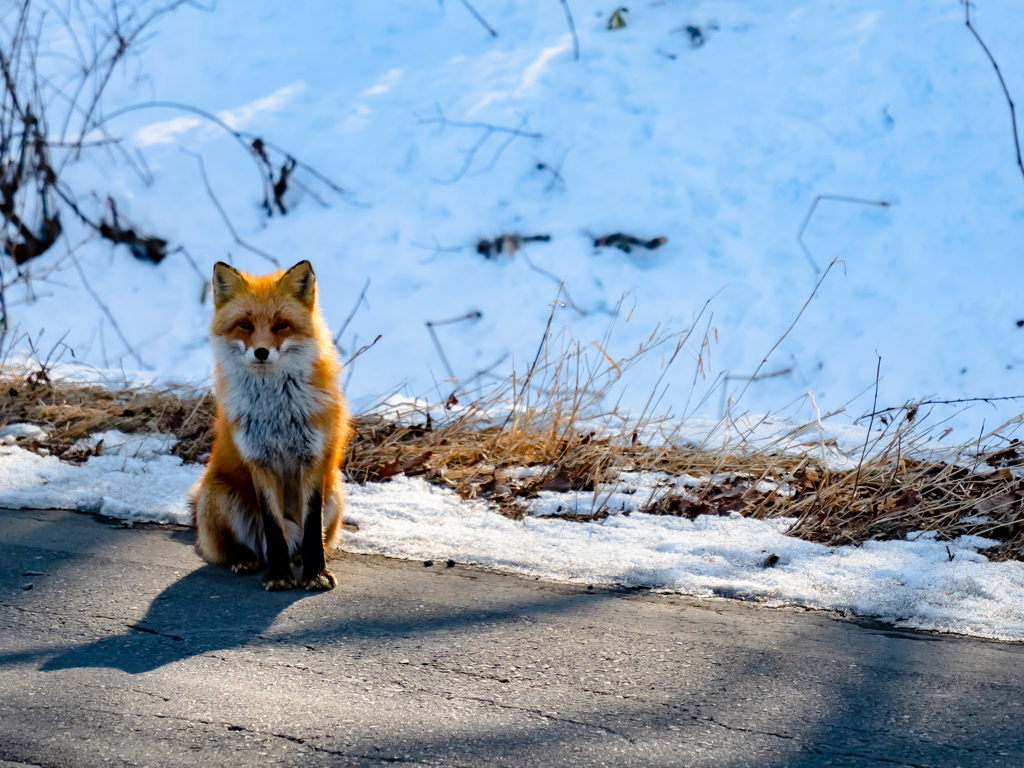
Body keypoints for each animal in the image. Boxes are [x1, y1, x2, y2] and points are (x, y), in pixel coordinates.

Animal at [191, 262, 352, 593]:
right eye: (244, 325)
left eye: (281, 326)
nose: (262, 352)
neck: (276, 411)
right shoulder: (259, 460)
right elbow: (273, 525)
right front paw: (279, 575)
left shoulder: (312, 459)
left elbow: (312, 528)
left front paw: (316, 573)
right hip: (216, 494)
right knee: (237, 547)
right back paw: (248, 559)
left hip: (335, 494)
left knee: (306, 538)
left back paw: (299, 558)